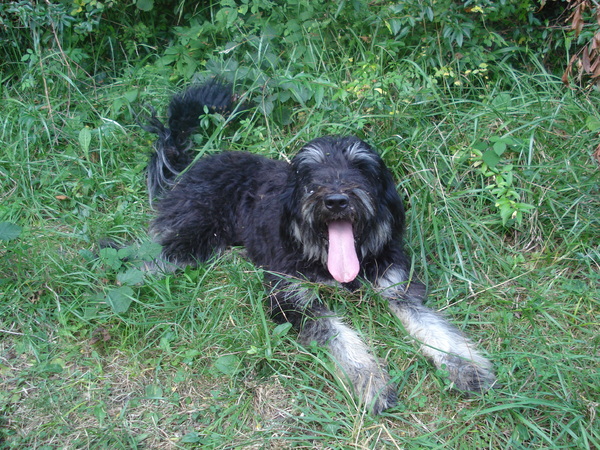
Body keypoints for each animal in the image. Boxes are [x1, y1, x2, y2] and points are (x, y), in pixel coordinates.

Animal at [143, 80, 494, 412]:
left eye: (361, 167)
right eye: (309, 171)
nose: (336, 200)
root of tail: (198, 163)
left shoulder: (396, 287)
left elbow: (433, 327)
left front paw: (466, 367)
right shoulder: (290, 296)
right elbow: (339, 335)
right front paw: (371, 380)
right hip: (195, 237)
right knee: (151, 258)